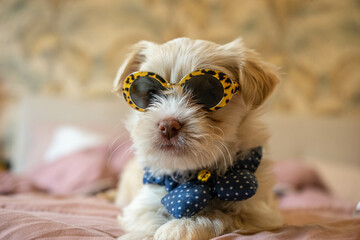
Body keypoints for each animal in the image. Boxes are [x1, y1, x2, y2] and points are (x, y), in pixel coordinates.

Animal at [114, 38, 282, 240]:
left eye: (208, 94)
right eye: (151, 93)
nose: (167, 125)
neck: (193, 177)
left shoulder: (259, 213)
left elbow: (218, 215)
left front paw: (182, 226)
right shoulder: (143, 203)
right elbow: (147, 219)